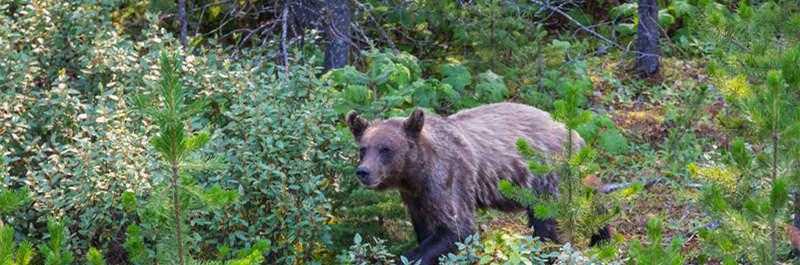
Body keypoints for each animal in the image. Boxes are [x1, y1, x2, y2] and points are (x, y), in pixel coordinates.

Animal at [346, 102, 604, 262]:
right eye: (363, 149)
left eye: (385, 149)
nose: (363, 172)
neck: (416, 173)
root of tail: (575, 135)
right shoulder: (417, 197)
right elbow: (426, 228)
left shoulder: (449, 179)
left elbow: (457, 228)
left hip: (548, 178)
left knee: (549, 225)